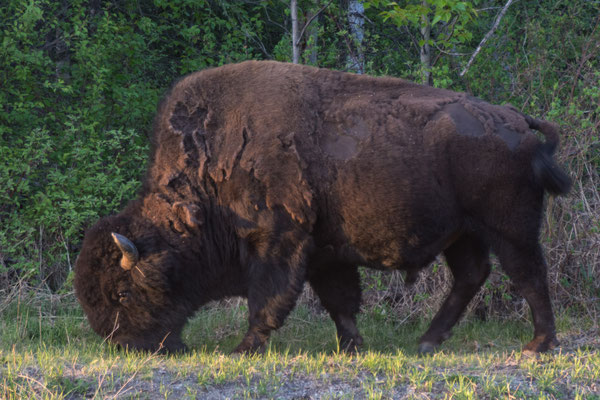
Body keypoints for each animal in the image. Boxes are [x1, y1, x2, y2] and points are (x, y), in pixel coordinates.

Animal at [75, 59, 572, 354]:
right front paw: (352, 346)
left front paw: (244, 348)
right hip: (464, 233)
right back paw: (427, 342)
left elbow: (267, 299)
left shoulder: (277, 244)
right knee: (471, 276)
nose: (126, 344)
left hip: (509, 228)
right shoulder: (324, 255)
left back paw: (538, 344)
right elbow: (341, 302)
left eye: (122, 292)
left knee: (528, 274)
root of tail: (515, 120)